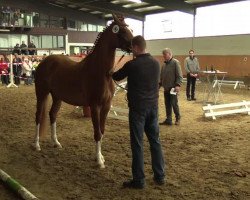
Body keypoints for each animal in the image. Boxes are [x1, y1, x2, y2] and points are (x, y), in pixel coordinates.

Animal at [34, 14, 134, 168]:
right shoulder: (94, 106)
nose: (134, 45)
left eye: (129, 28)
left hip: (57, 97)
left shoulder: (106, 106)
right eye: (121, 30)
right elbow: (97, 132)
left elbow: (102, 131)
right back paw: (37, 145)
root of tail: (44, 62)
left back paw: (56, 142)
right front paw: (99, 161)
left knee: (52, 115)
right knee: (39, 116)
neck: (102, 72)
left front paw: (101, 156)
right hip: (41, 93)